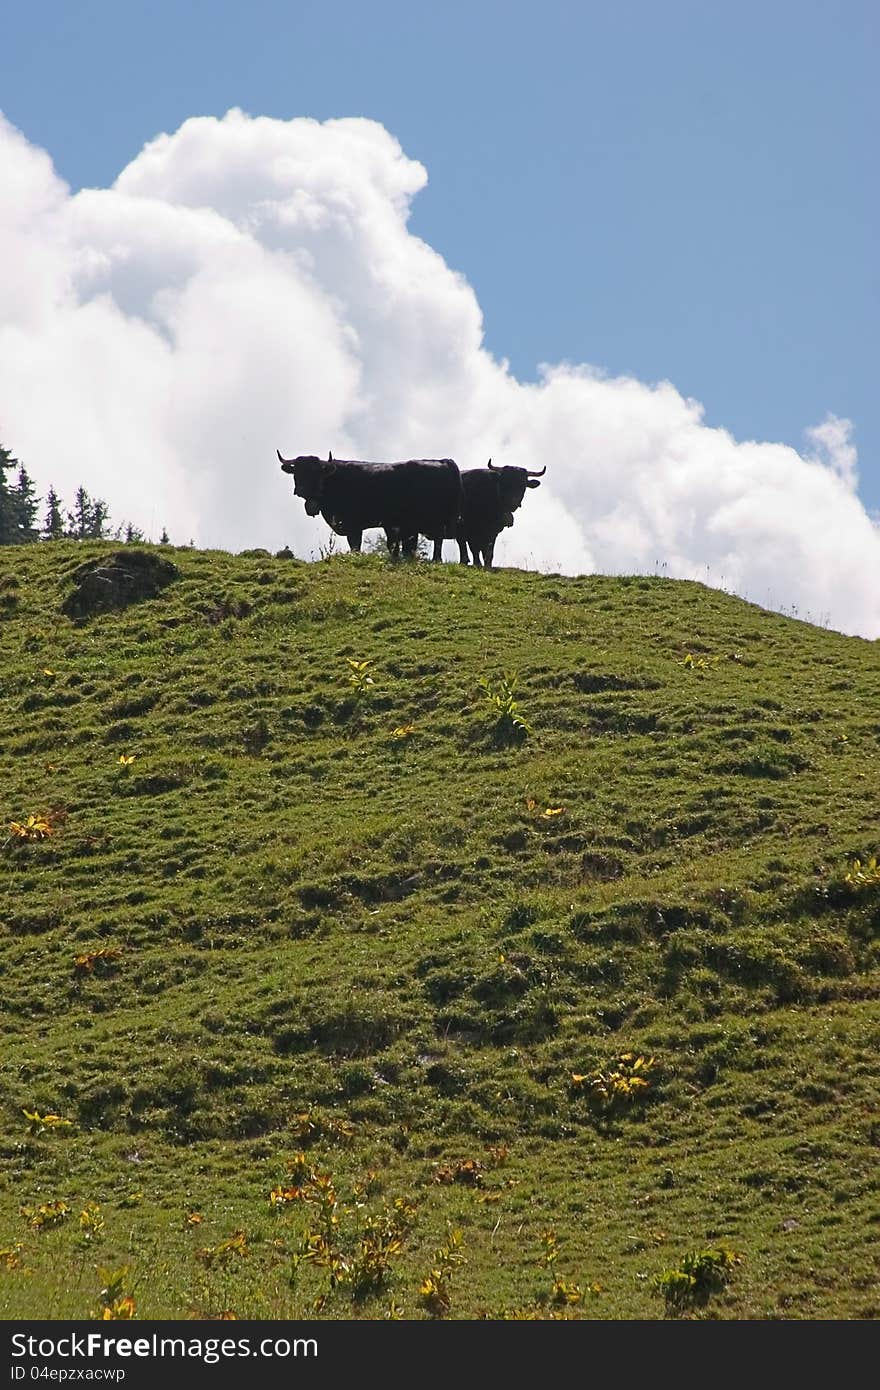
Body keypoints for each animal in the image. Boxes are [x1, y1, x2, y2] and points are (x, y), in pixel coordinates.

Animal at [278, 455, 464, 564]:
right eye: (297, 472)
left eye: (315, 472)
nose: (301, 490)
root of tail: (443, 461)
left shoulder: (353, 525)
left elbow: (355, 545)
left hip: (435, 519)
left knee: (438, 539)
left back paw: (436, 560)